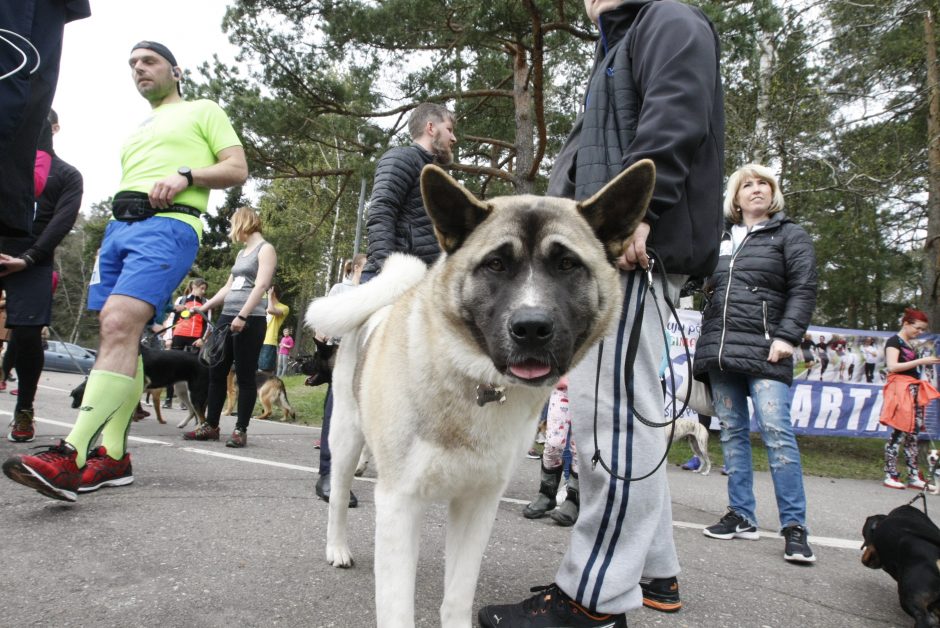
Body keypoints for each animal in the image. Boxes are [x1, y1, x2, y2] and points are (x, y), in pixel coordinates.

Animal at [306, 161, 652, 628]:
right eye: (496, 264)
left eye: (567, 264)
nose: (531, 327)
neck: (480, 385)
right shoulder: (399, 503)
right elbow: (397, 604)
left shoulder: (478, 506)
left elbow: (457, 594)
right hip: (344, 439)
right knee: (340, 497)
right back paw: (338, 547)